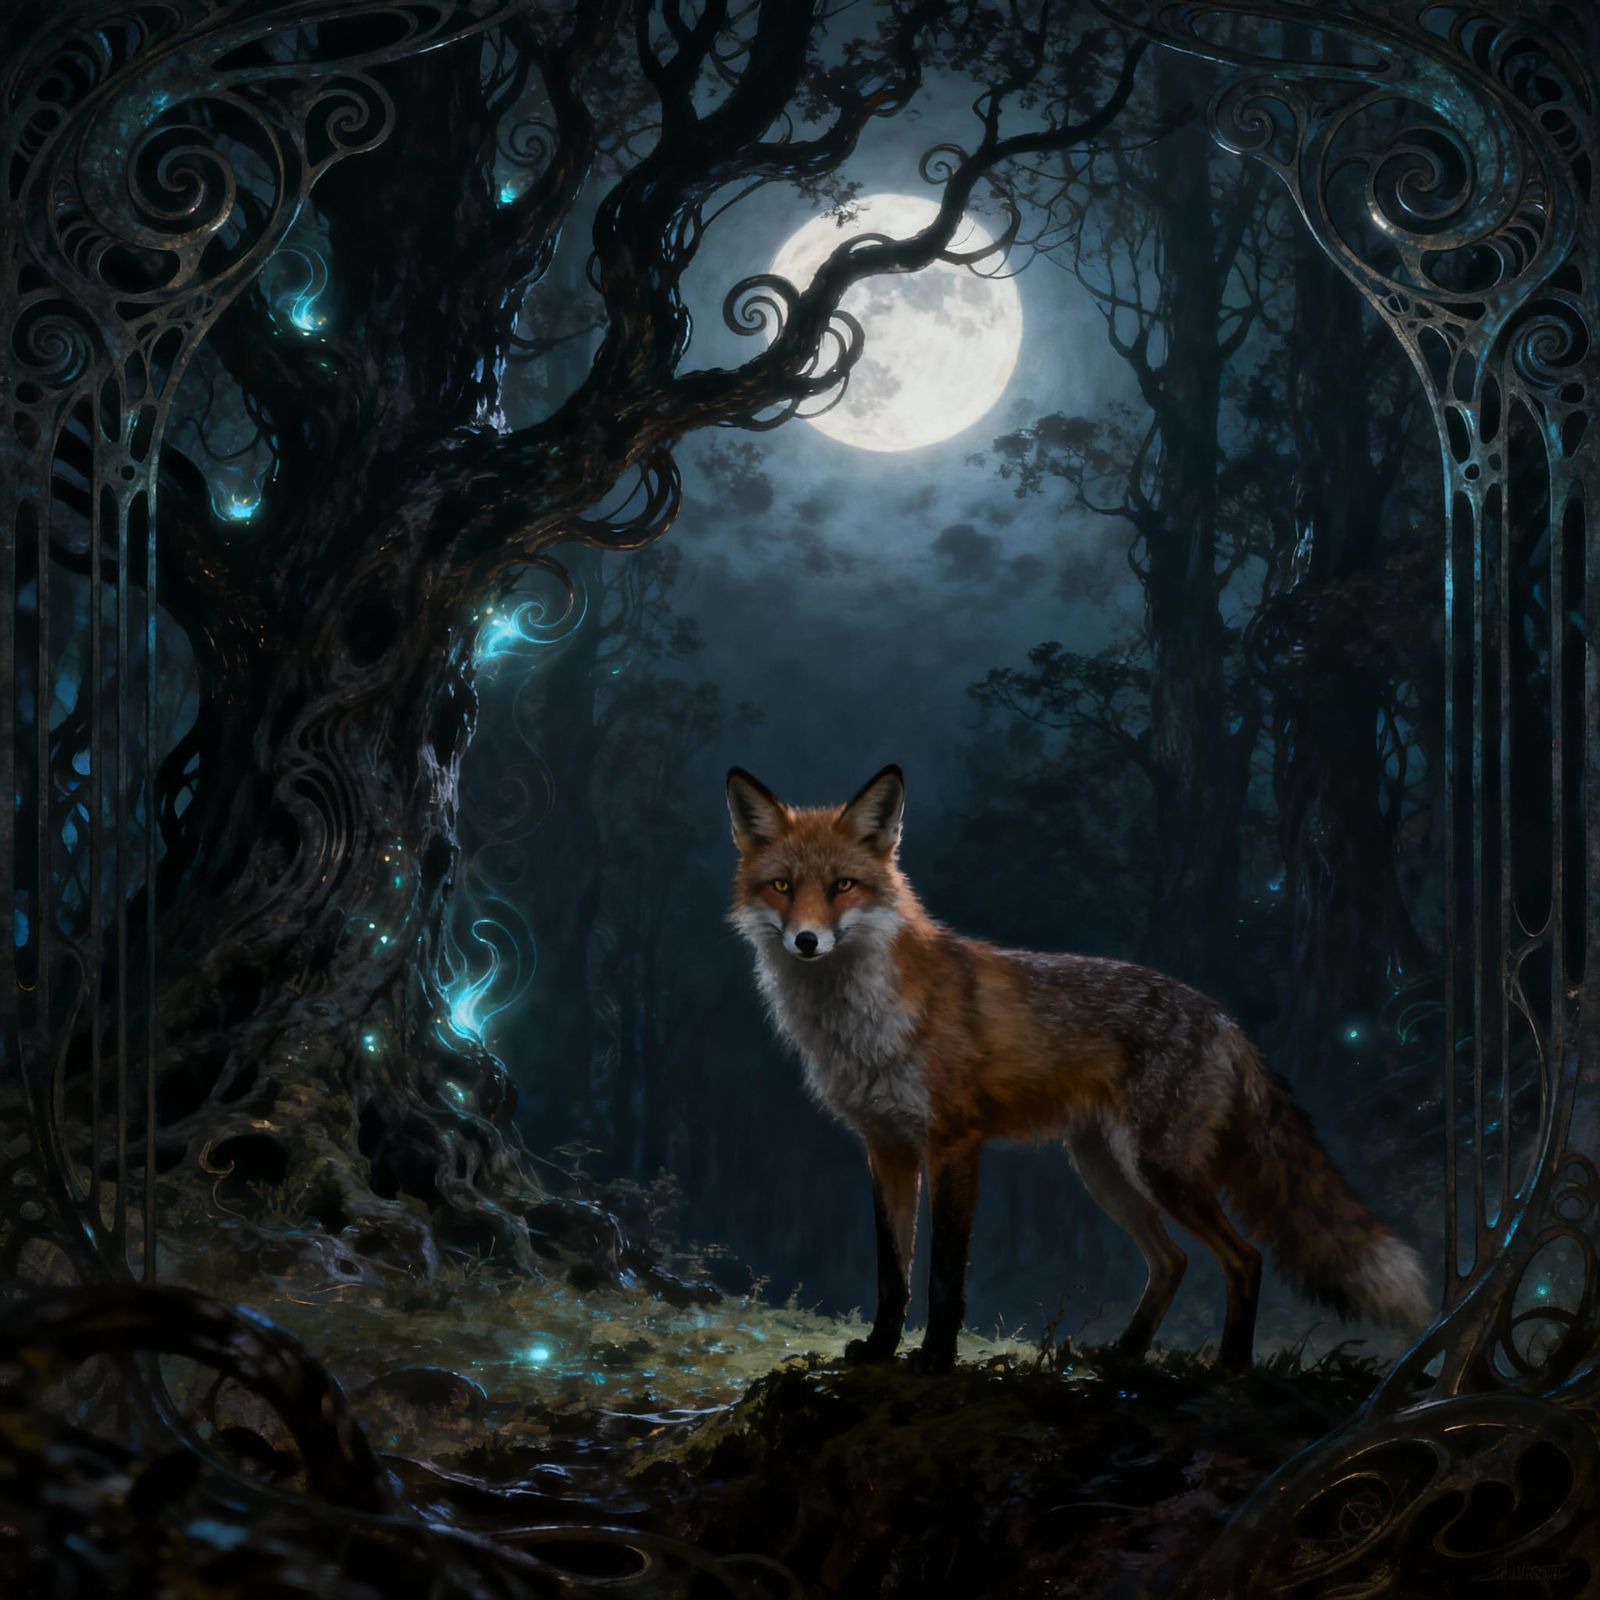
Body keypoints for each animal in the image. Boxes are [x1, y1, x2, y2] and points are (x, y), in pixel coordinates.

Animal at [725, 762, 1431, 1374]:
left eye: (842, 885)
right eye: (782, 886)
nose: (806, 941)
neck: (863, 1023)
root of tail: (1223, 1019)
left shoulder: (953, 1140)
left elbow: (945, 1274)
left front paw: (936, 1360)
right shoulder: (886, 1146)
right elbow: (891, 1274)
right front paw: (878, 1351)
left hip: (1160, 1171)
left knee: (1244, 1258)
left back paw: (1229, 1369)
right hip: (1103, 1171)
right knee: (1173, 1261)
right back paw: (1124, 1355)